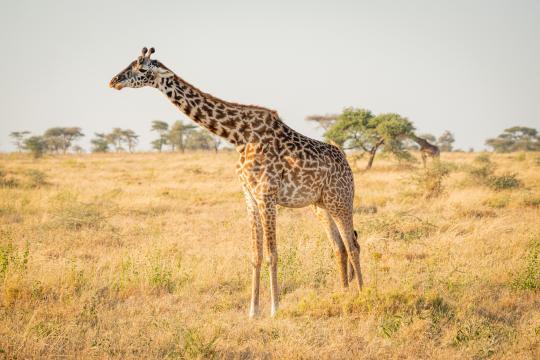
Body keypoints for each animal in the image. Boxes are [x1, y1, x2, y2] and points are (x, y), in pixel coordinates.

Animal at [109, 47, 362, 318]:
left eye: (142, 68)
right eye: (132, 63)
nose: (114, 81)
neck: (238, 136)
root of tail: (347, 163)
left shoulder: (266, 195)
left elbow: (272, 254)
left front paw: (275, 308)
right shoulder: (249, 196)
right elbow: (255, 255)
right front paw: (253, 311)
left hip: (341, 200)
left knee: (353, 245)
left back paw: (362, 292)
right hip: (320, 205)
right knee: (340, 246)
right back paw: (343, 293)